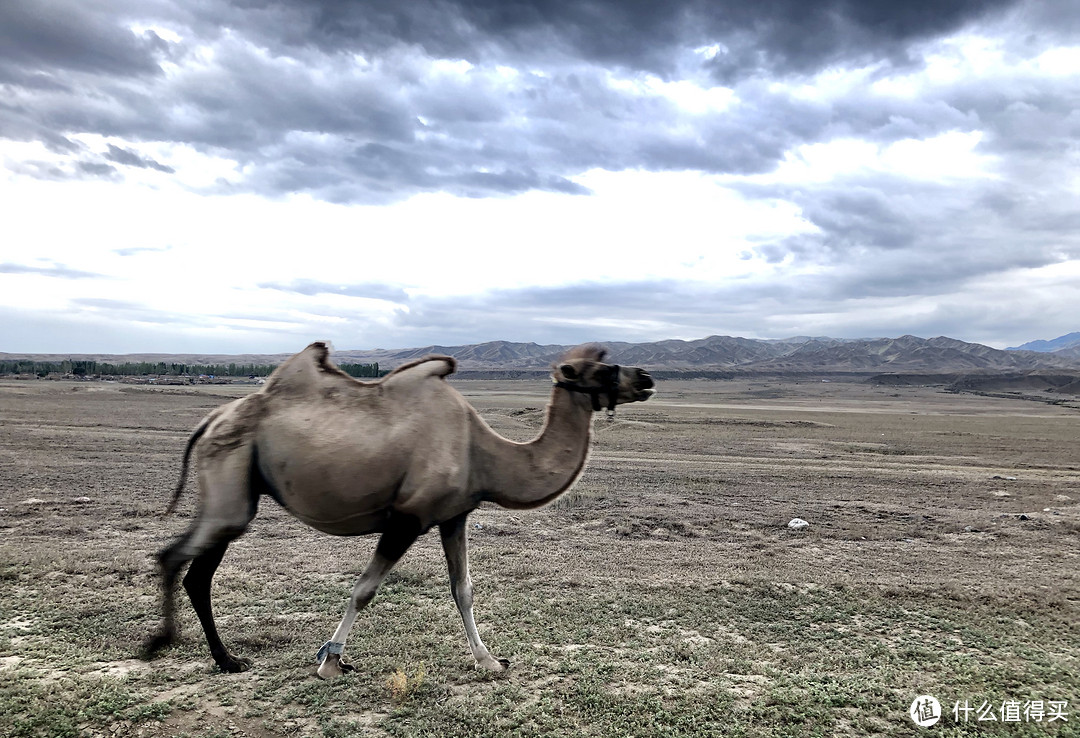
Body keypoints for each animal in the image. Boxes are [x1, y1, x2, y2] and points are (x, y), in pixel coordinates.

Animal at [140, 343, 652, 678]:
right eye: (600, 370)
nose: (645, 379)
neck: (483, 452)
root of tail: (213, 418)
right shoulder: (408, 517)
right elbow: (364, 589)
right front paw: (330, 661)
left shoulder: (454, 516)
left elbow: (463, 589)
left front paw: (490, 661)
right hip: (231, 480)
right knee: (188, 561)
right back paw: (186, 650)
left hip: (235, 488)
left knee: (188, 564)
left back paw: (208, 654)